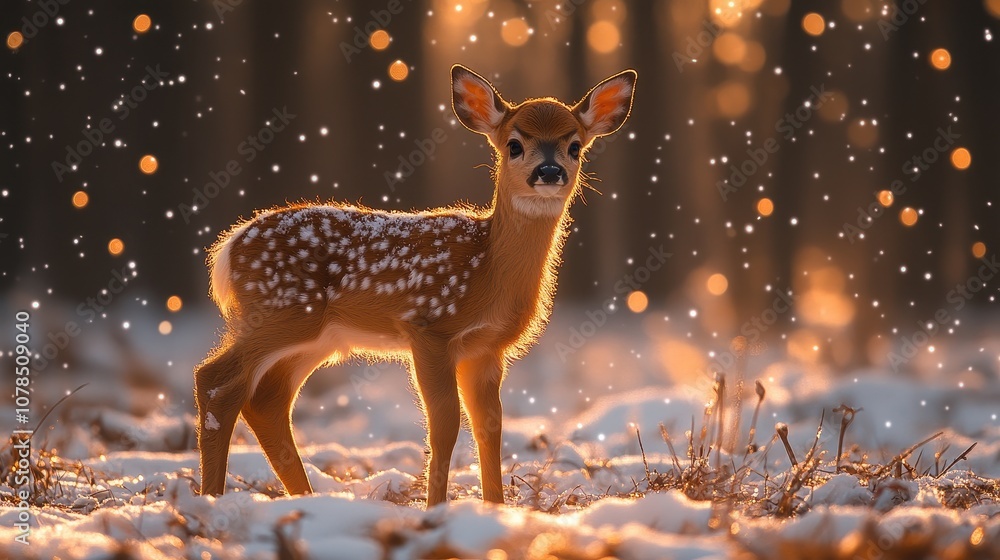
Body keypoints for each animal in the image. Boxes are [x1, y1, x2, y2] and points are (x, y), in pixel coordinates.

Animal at [195, 65, 636, 507]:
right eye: (514, 144)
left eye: (575, 146)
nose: (548, 171)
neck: (488, 271)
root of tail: (227, 250)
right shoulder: (429, 328)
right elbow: (444, 425)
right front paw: (436, 508)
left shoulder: (487, 349)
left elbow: (489, 426)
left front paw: (494, 506)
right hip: (281, 310)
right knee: (215, 380)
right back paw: (212, 497)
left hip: (317, 337)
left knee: (266, 400)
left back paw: (303, 497)